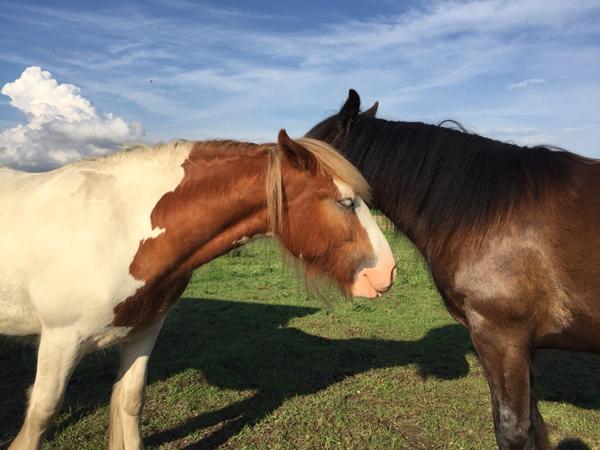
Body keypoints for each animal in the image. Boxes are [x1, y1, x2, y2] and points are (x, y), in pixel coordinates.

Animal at [1, 127, 398, 450]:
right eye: (345, 202)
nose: (389, 271)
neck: (119, 228)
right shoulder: (61, 339)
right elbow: (42, 413)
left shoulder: (143, 330)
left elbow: (129, 401)